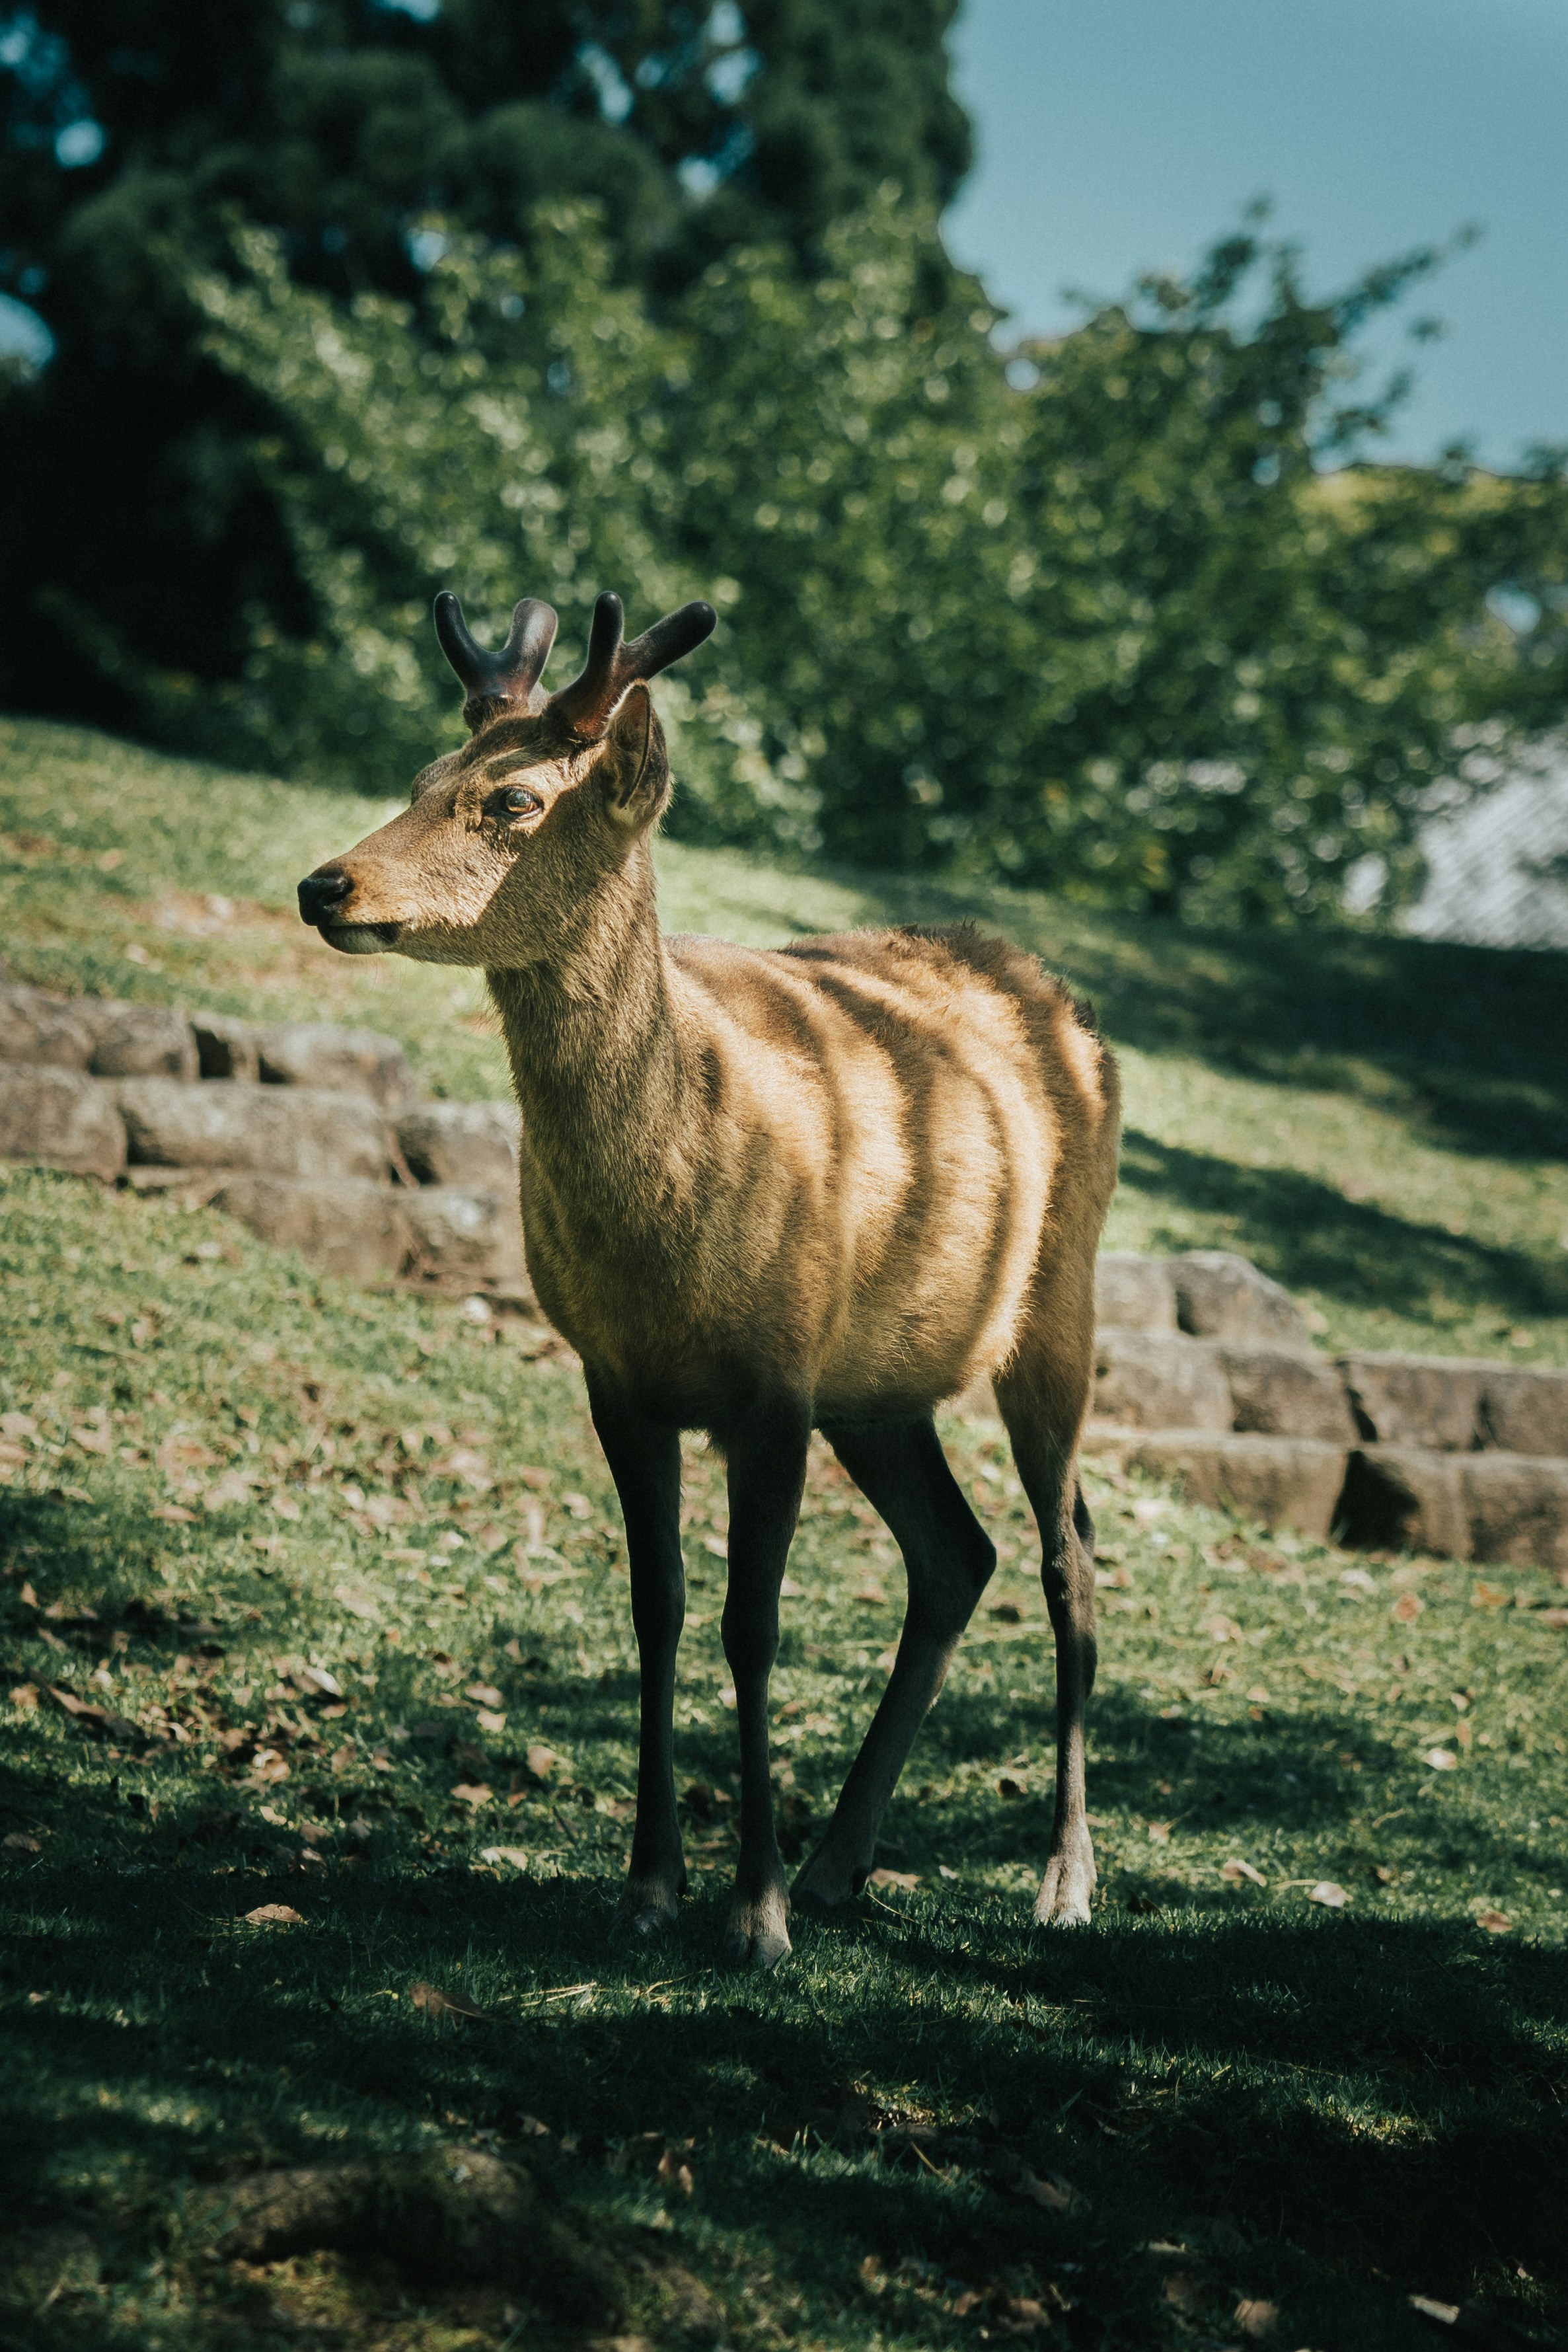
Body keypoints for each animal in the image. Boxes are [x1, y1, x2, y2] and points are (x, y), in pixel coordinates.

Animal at [297, 589, 1121, 1969]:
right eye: (420, 776)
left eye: (512, 799)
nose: (324, 881)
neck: (666, 1230)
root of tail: (1055, 992)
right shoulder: (617, 1377)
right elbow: (659, 1605)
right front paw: (648, 1884)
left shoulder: (771, 1382)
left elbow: (752, 1621)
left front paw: (752, 1911)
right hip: (878, 1384)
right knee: (957, 1552)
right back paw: (845, 1859)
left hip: (1056, 1303)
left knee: (1068, 1559)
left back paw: (1060, 1878)